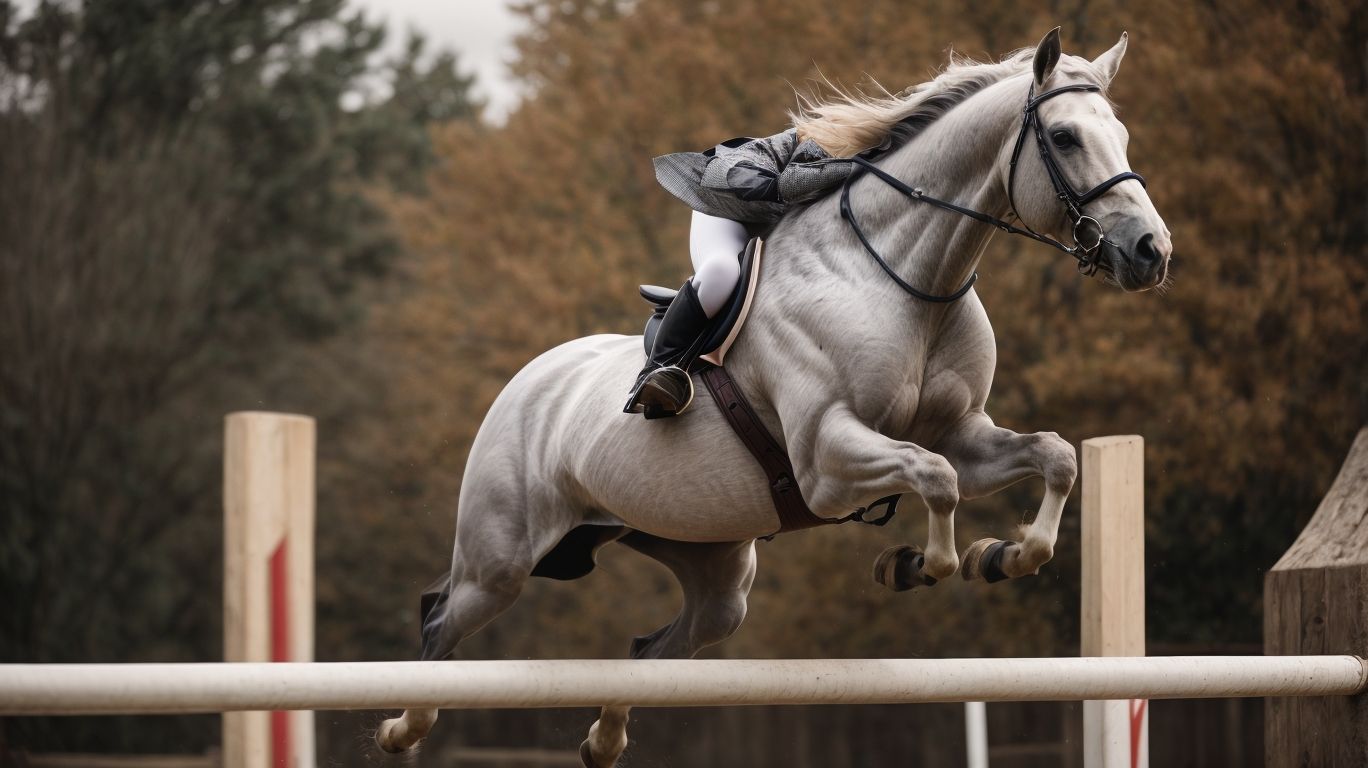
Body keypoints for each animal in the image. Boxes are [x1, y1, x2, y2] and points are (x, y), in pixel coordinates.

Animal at [376, 28, 1171, 767]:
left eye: (1125, 135)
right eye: (1064, 137)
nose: (1151, 252)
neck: (907, 278)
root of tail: (527, 380)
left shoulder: (964, 432)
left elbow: (1051, 458)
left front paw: (1000, 556)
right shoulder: (826, 459)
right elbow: (934, 478)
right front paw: (917, 565)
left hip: (706, 565)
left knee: (655, 649)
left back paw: (603, 739)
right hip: (500, 559)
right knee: (440, 622)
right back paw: (399, 728)